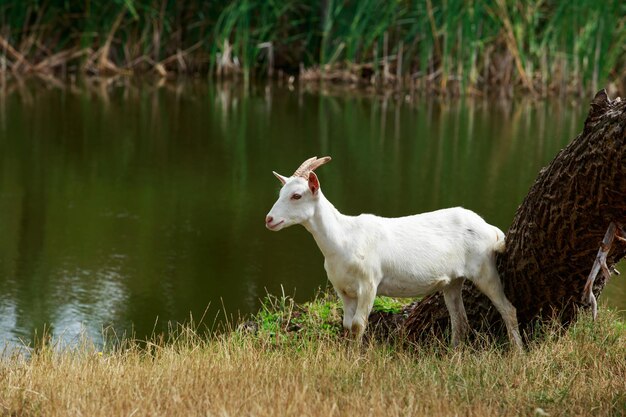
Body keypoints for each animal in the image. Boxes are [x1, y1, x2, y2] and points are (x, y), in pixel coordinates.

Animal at [264, 156, 520, 348]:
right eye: (280, 193)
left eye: (297, 195)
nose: (269, 219)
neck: (344, 239)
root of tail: (492, 230)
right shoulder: (342, 289)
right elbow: (346, 325)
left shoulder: (369, 283)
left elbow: (358, 325)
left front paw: (354, 361)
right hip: (453, 281)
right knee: (461, 322)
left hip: (484, 267)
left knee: (508, 309)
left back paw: (516, 352)